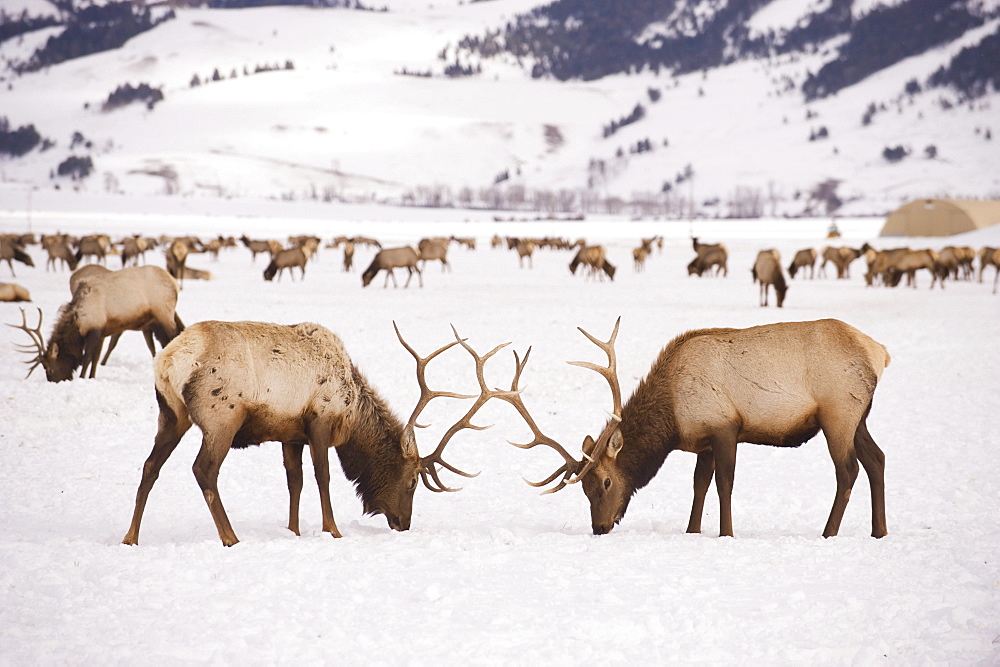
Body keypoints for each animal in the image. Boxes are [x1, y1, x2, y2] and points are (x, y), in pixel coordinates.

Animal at [8, 264, 185, 380]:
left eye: (49, 368)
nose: (55, 381)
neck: (78, 320)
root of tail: (175, 283)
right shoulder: (102, 330)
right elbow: (95, 358)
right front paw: (91, 377)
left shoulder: (94, 328)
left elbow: (86, 358)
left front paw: (81, 377)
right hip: (155, 321)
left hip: (164, 313)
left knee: (174, 336)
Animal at [121, 320, 496, 544]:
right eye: (413, 481)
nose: (404, 523)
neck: (352, 413)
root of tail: (170, 360)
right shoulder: (320, 419)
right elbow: (323, 475)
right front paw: (333, 529)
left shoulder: (290, 433)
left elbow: (295, 480)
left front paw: (294, 530)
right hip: (221, 417)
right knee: (203, 470)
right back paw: (230, 537)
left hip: (171, 414)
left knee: (150, 466)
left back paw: (131, 537)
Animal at [498, 316, 892, 540]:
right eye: (583, 488)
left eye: (606, 482)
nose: (599, 527)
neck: (672, 419)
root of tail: (880, 352)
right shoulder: (703, 440)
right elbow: (699, 484)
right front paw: (692, 530)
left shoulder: (725, 426)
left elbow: (723, 483)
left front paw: (726, 534)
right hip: (859, 417)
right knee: (877, 459)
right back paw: (879, 531)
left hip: (838, 413)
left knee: (848, 470)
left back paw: (828, 533)